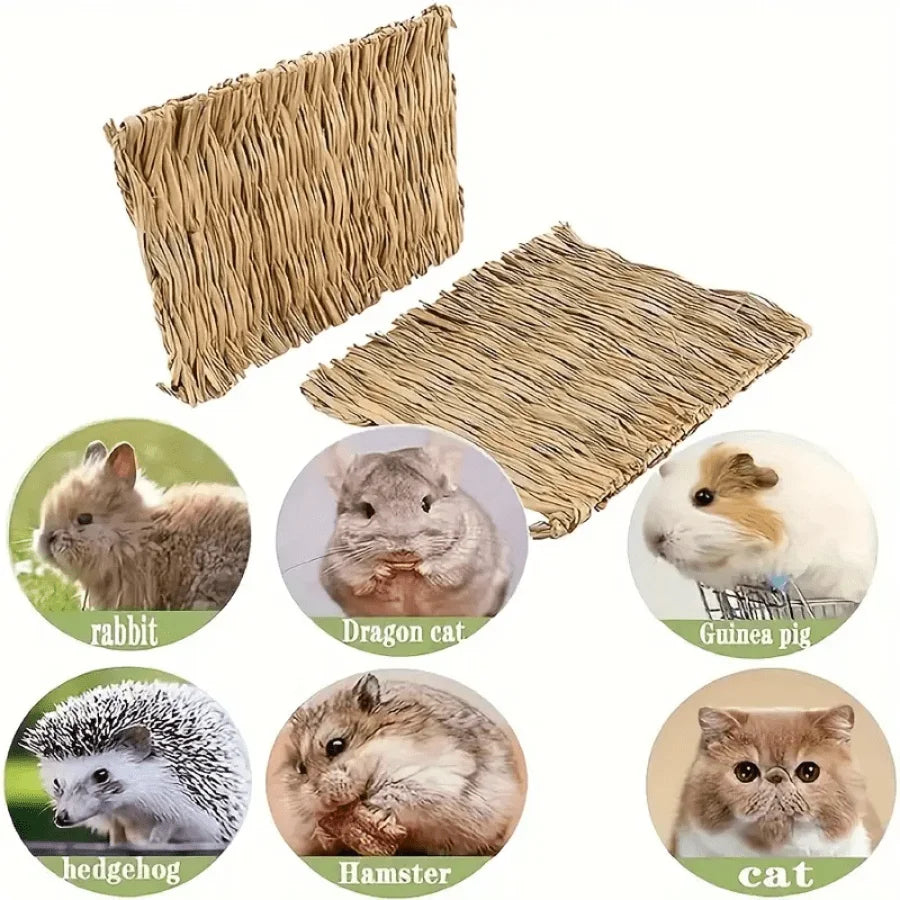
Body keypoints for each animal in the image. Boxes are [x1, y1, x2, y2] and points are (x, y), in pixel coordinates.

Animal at [283, 674, 526, 856]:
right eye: (301, 768)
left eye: (335, 745)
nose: (326, 801)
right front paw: (323, 832)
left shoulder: (439, 777)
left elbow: (399, 793)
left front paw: (378, 815)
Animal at [319, 438, 511, 616]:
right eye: (367, 510)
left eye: (426, 504)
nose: (402, 548)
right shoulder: (340, 565)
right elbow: (361, 574)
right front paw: (382, 570)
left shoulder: (466, 555)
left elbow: (443, 565)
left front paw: (421, 567)